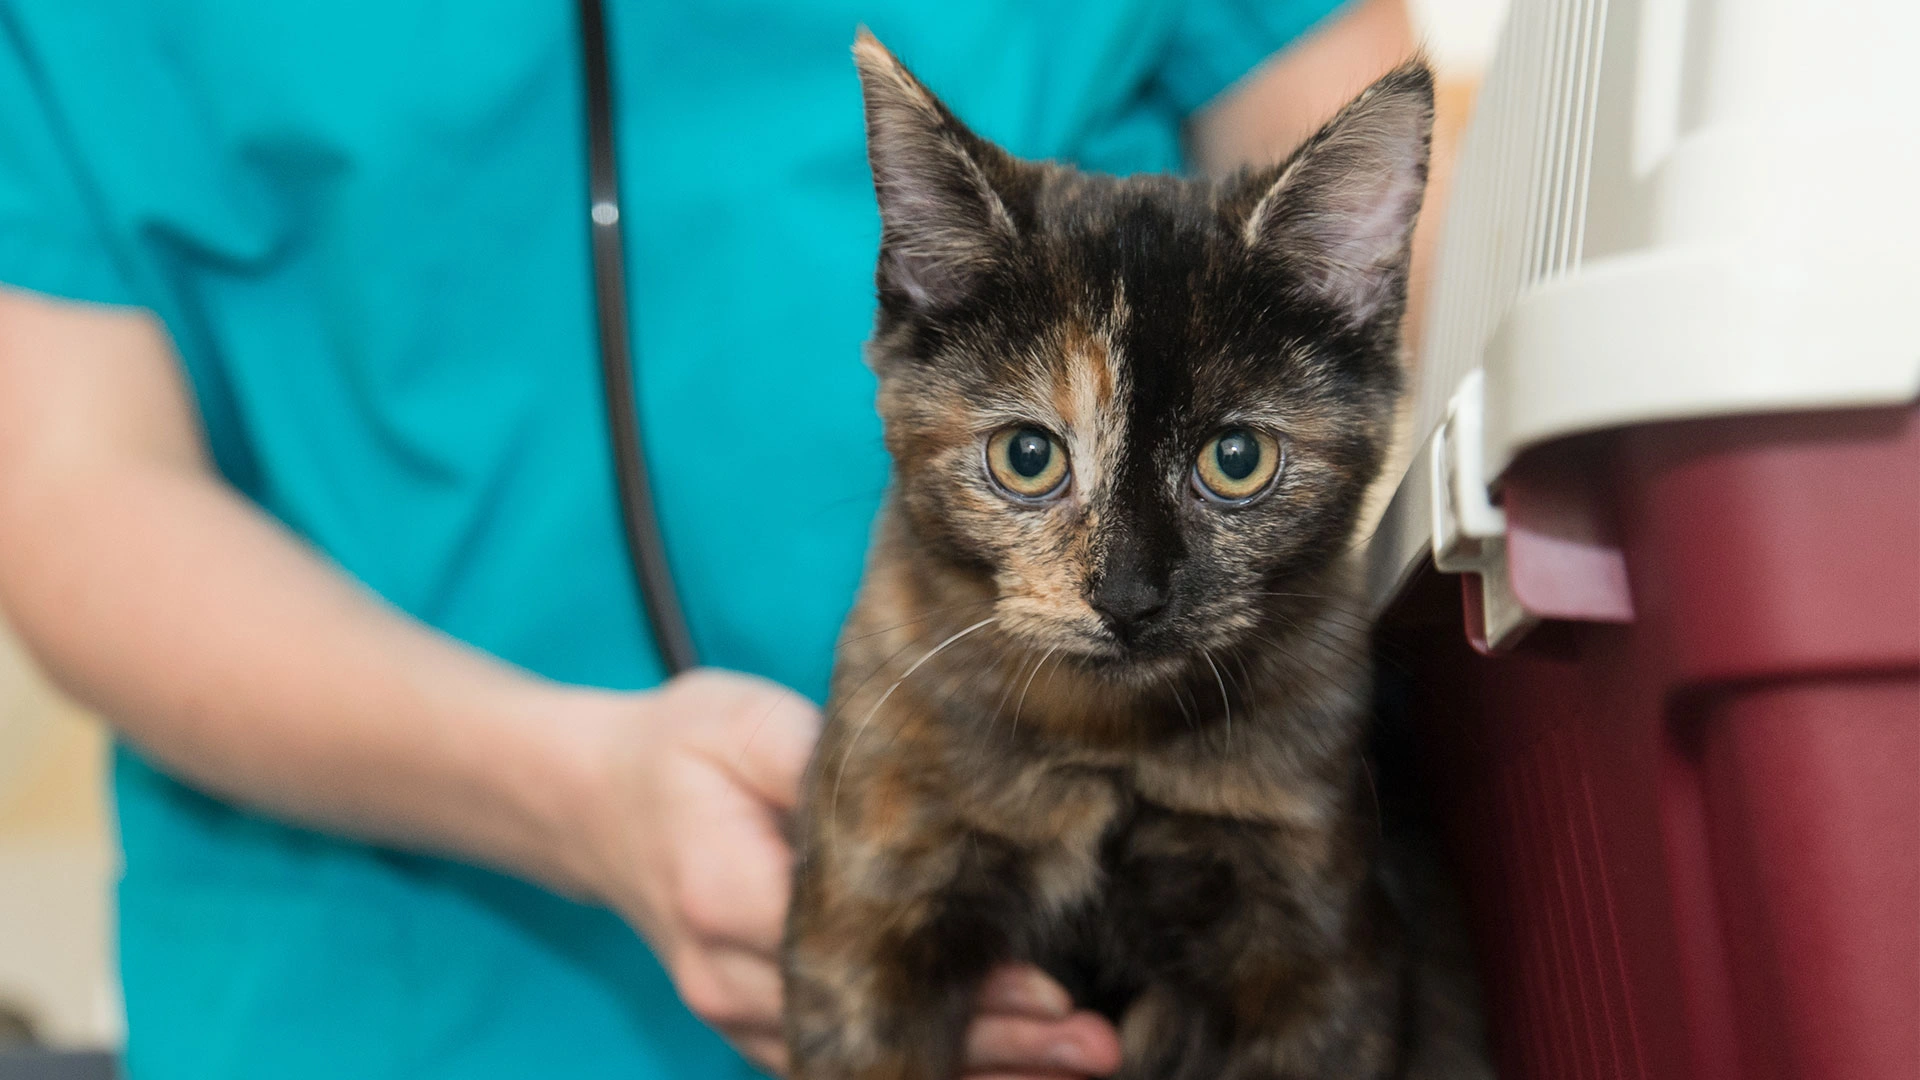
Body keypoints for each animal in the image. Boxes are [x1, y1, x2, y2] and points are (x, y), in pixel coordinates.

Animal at [787, 33, 1489, 1076]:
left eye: (1237, 460)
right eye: (1027, 456)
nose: (1128, 596)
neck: (1109, 745)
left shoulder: (1325, 955)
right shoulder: (862, 917)